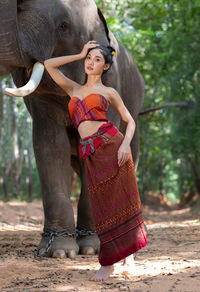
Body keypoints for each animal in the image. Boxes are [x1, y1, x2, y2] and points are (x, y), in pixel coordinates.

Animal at [0, 0, 144, 260]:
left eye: (63, 26)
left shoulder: (113, 83)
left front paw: (91, 248)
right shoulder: (43, 102)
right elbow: (50, 145)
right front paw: (59, 252)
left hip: (135, 112)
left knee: (132, 153)